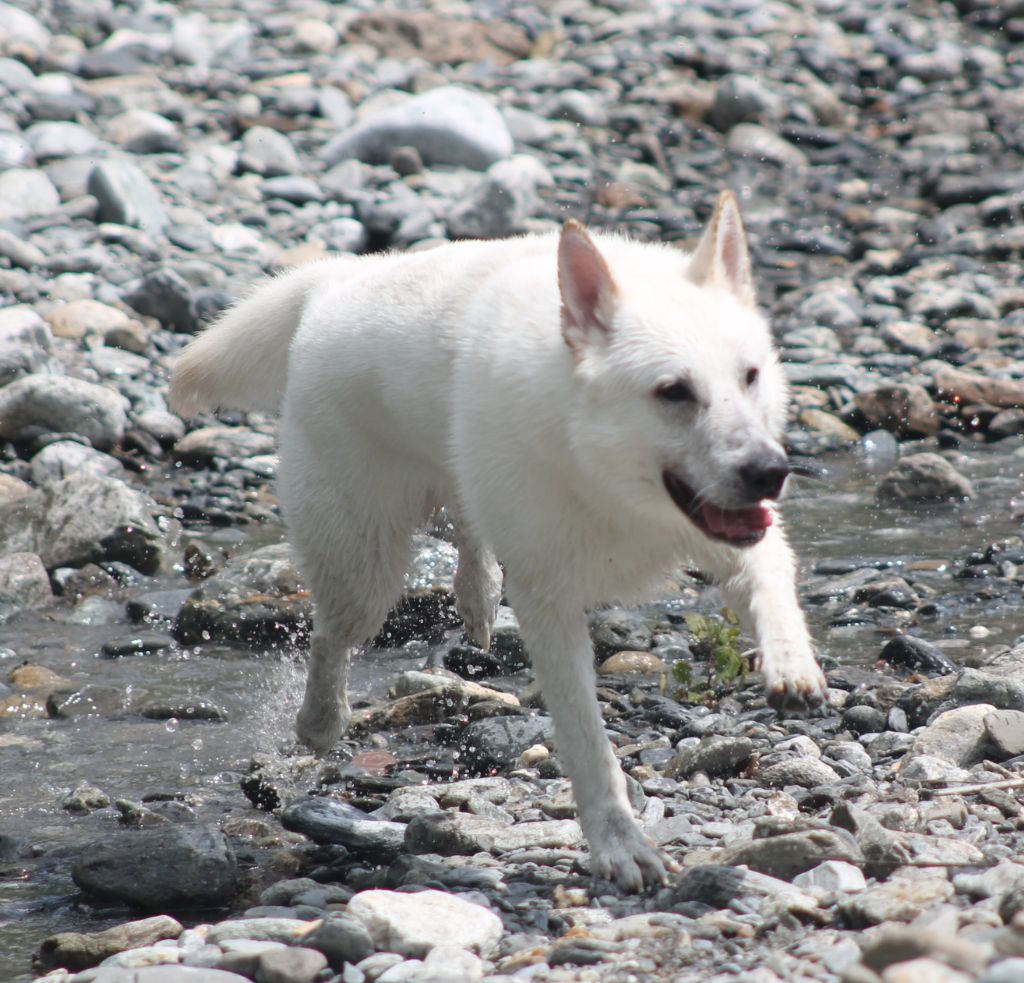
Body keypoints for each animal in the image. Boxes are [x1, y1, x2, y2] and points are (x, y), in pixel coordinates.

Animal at [172, 190, 827, 892]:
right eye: (673, 392)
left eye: (751, 376)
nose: (771, 471)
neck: (604, 473)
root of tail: (339, 278)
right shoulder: (550, 606)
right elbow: (587, 742)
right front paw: (620, 845)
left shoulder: (736, 534)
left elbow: (772, 587)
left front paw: (793, 668)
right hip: (365, 568)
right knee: (331, 635)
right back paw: (320, 721)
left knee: (466, 520)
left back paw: (478, 595)